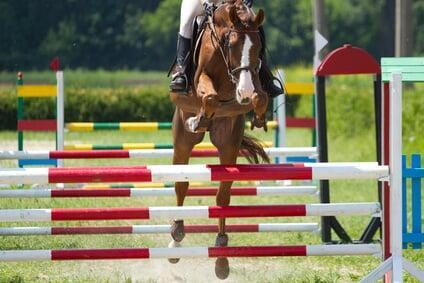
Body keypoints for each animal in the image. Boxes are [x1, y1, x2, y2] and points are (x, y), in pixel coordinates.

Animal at [169, 0, 268, 280]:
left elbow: (262, 97)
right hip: (182, 140)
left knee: (223, 196)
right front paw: (200, 117)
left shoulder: (254, 78)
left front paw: (259, 116)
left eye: (258, 47)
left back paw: (222, 257)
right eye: (230, 44)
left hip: (228, 143)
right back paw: (176, 240)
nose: (243, 91)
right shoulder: (202, 79)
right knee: (181, 185)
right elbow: (211, 97)